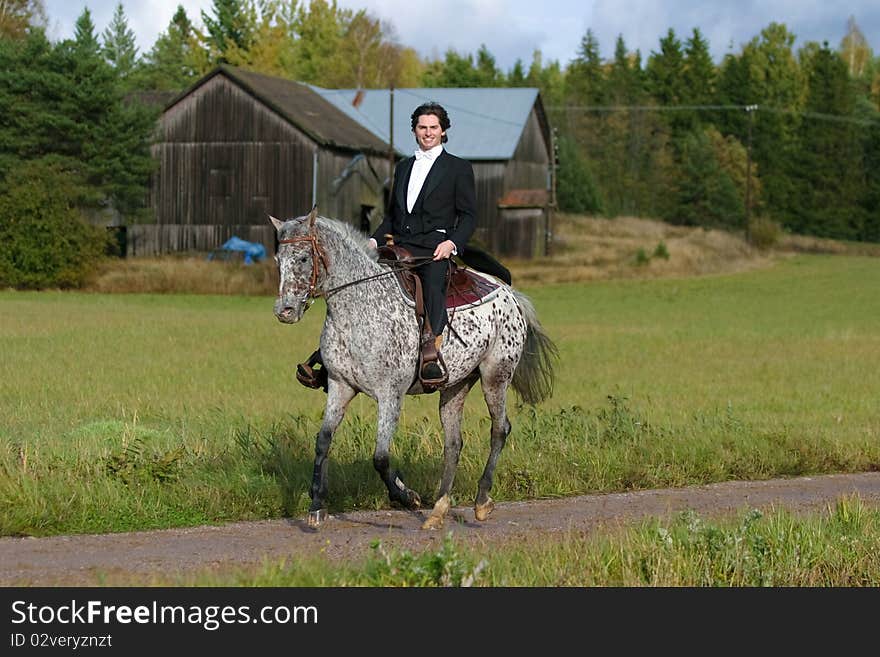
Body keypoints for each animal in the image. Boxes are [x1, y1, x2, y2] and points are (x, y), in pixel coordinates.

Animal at [272, 209, 556, 528]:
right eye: (278, 260)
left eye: (303, 258)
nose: (284, 311)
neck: (360, 307)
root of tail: (510, 294)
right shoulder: (340, 386)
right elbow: (323, 441)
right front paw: (317, 505)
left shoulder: (390, 395)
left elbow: (380, 457)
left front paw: (408, 497)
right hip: (455, 385)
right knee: (454, 443)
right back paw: (439, 509)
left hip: (496, 376)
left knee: (499, 429)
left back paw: (481, 501)